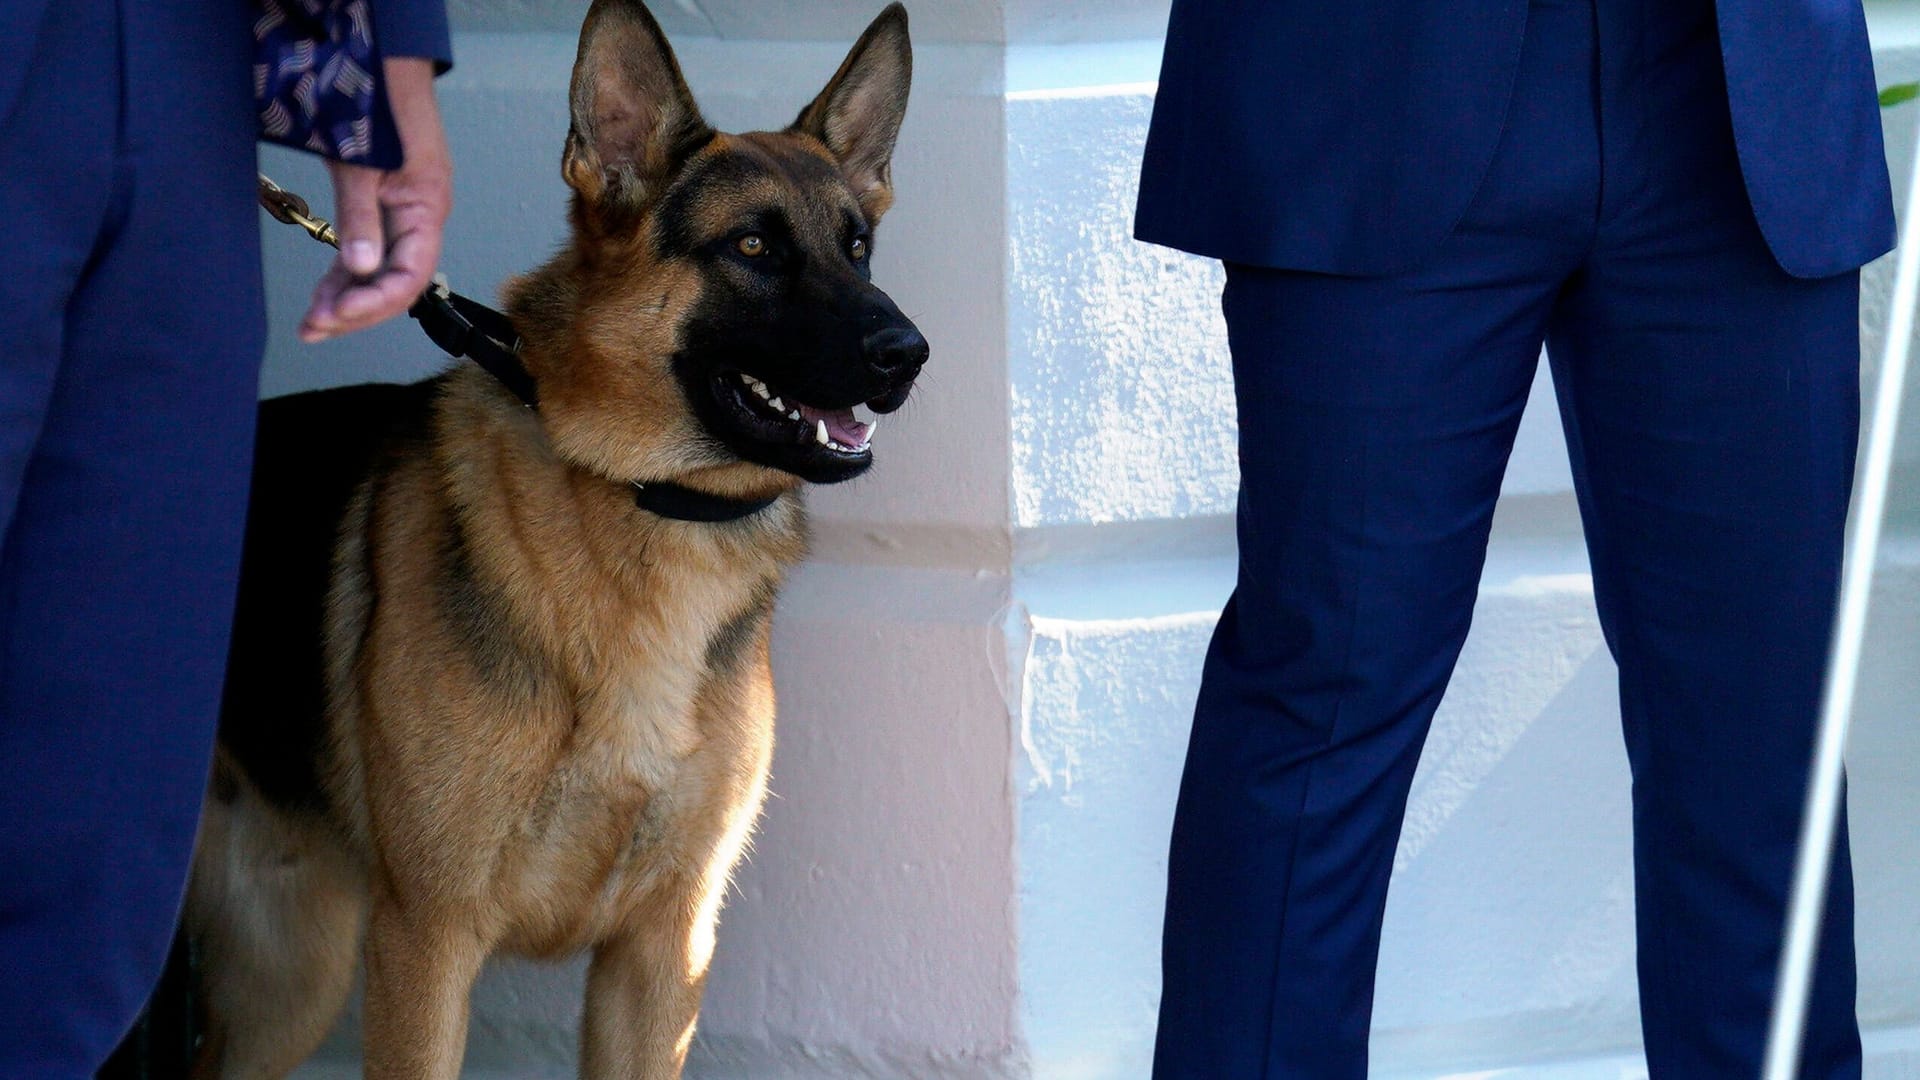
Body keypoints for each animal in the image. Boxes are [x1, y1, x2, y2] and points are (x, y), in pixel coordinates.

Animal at [185, 4, 921, 1068]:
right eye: (751, 247)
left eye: (858, 248)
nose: (909, 353)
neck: (646, 506)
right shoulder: (427, 946)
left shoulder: (662, 958)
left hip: (295, 979)